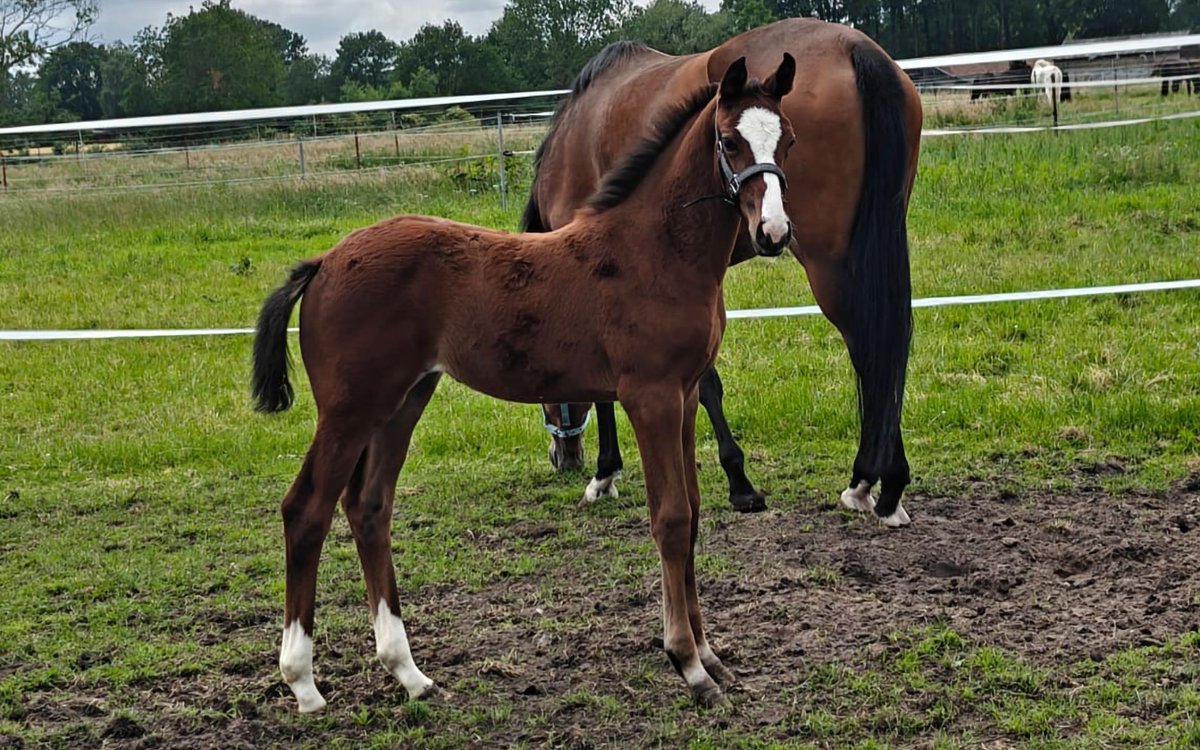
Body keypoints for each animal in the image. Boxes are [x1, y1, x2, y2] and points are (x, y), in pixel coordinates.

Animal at [252, 54, 798, 712]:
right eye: (729, 141)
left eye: (787, 141)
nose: (773, 232)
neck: (654, 252)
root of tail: (325, 262)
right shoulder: (651, 396)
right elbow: (670, 519)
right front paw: (689, 665)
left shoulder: (688, 395)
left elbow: (691, 512)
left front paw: (712, 656)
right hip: (350, 408)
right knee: (305, 509)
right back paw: (304, 683)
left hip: (404, 399)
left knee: (369, 506)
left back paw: (409, 673)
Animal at [523, 19, 922, 525]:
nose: (565, 458)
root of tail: (855, 47)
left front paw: (610, 473)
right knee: (889, 340)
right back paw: (889, 483)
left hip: (828, 260)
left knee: (869, 342)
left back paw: (867, 482)